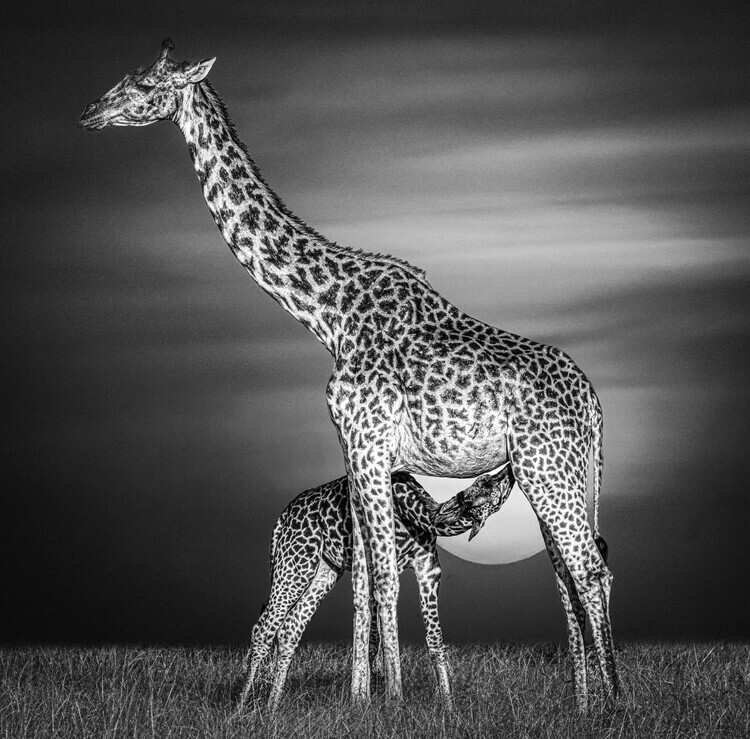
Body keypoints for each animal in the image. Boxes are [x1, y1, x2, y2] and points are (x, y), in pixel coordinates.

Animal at [241, 466, 514, 712]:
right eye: (485, 482)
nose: (508, 471)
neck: (416, 514)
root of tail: (282, 518)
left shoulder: (428, 568)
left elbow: (433, 639)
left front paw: (448, 706)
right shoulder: (378, 564)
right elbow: (377, 637)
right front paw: (379, 700)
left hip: (325, 569)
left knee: (289, 628)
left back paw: (272, 705)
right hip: (295, 561)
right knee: (264, 627)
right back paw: (242, 704)